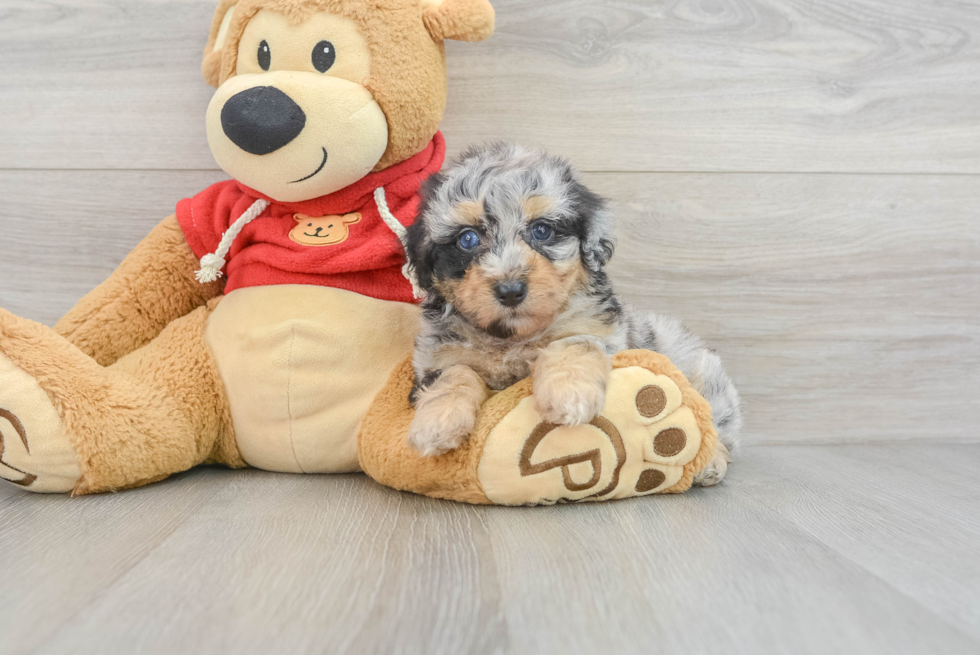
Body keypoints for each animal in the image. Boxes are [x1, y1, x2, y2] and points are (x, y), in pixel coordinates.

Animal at [402, 144, 740, 484]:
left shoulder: (599, 328)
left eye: (542, 230)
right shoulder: (437, 355)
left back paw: (710, 461)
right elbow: (456, 373)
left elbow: (573, 344)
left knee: (716, 425)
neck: (512, 338)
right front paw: (437, 423)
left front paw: (568, 395)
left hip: (708, 379)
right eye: (467, 239)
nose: (510, 290)